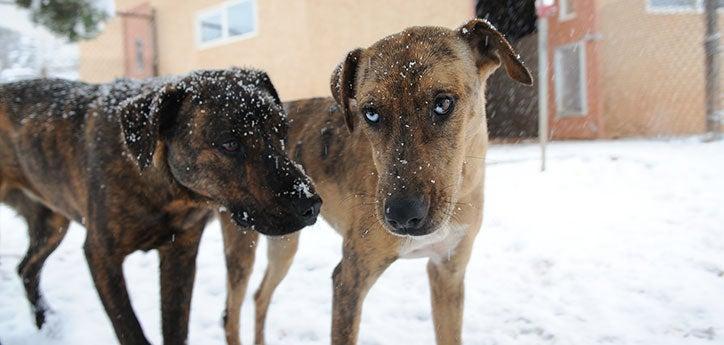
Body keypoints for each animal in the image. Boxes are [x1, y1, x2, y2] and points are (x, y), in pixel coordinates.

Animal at [0, 68, 320, 342]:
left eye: (282, 131)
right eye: (229, 143)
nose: (312, 205)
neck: (166, 193)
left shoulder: (181, 252)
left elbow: (176, 326)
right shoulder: (102, 255)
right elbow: (130, 329)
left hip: (52, 225)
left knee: (26, 268)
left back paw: (43, 322)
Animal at [221, 19, 532, 344]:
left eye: (443, 103)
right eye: (370, 113)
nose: (403, 216)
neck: (458, 191)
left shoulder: (448, 271)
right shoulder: (349, 279)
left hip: (284, 242)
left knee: (260, 295)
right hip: (243, 244)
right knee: (232, 313)